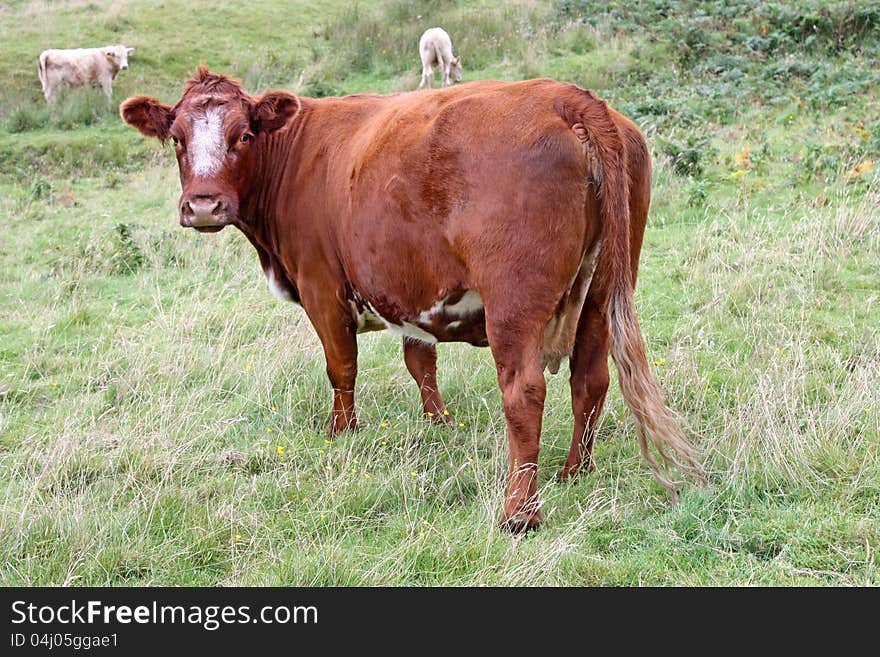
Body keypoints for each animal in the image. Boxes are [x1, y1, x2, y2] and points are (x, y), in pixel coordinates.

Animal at [120, 66, 704, 532]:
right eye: (176, 138)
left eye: (242, 134)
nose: (203, 205)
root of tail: (564, 95)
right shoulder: (408, 290)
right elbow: (419, 359)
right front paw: (438, 422)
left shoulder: (321, 285)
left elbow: (342, 366)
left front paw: (342, 434)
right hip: (603, 291)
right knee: (591, 380)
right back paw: (573, 473)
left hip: (514, 302)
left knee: (524, 392)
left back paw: (519, 513)